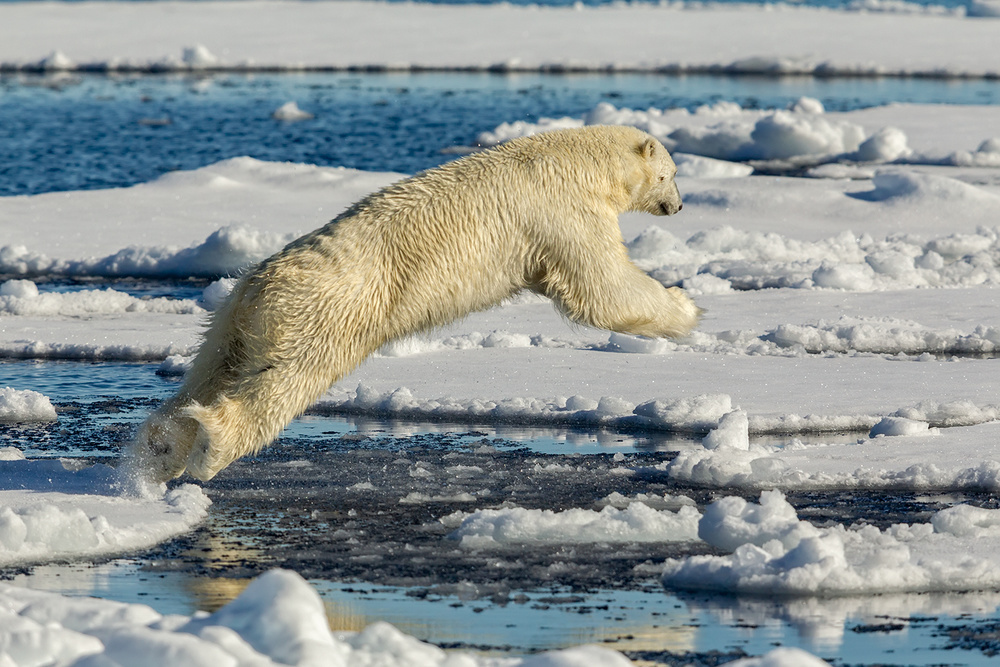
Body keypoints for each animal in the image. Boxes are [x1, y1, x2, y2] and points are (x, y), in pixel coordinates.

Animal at [130, 125, 700, 483]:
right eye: (671, 173)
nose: (678, 206)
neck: (578, 160)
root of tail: (259, 288)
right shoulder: (563, 213)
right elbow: (600, 286)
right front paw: (687, 308)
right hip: (325, 315)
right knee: (283, 382)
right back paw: (211, 451)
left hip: (230, 318)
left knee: (208, 372)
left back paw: (161, 448)